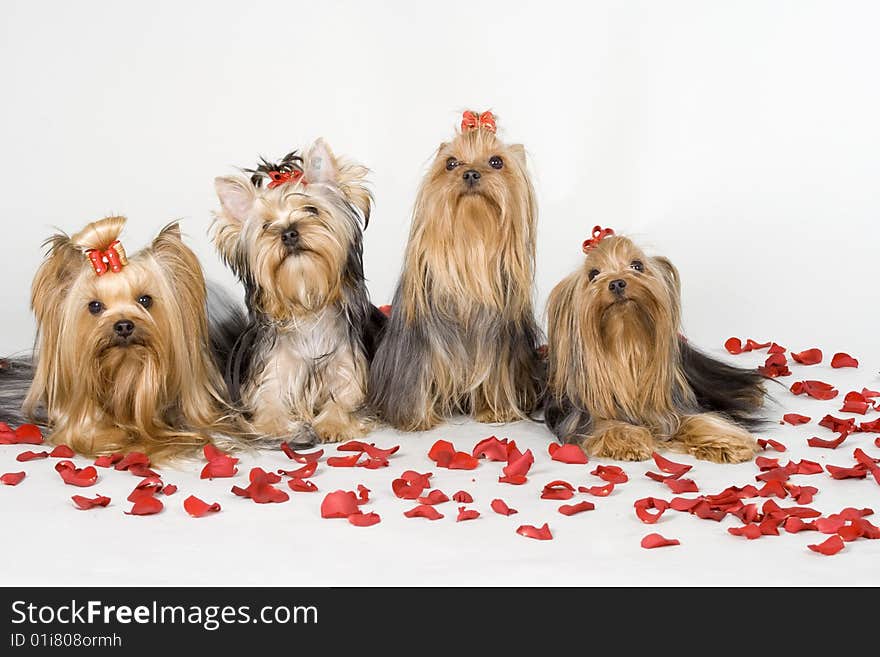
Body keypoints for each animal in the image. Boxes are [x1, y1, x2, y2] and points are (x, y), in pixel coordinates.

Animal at [213, 139, 384, 446]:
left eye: (312, 210)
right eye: (266, 226)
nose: (289, 232)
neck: (307, 301)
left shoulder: (349, 369)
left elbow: (344, 398)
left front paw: (332, 423)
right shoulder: (271, 373)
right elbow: (268, 405)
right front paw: (279, 427)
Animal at [366, 111, 544, 430]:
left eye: (496, 161)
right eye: (451, 163)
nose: (470, 173)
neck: (470, 244)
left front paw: (495, 411)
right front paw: (418, 418)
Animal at [548, 228, 768, 464]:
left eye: (637, 265)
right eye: (593, 274)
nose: (616, 283)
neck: (627, 342)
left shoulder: (676, 406)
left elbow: (696, 418)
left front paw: (725, 443)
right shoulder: (583, 419)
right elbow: (604, 425)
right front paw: (627, 441)